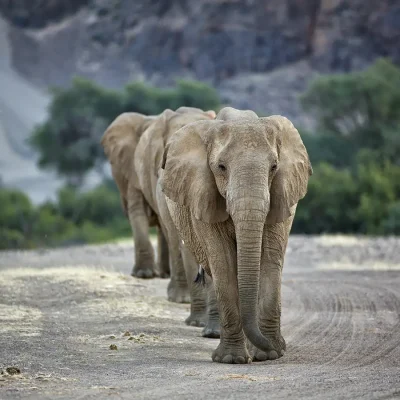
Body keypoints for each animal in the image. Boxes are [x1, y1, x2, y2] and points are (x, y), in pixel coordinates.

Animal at [159, 108, 312, 364]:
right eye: (221, 167)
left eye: (274, 167)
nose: (279, 347)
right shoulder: (203, 196)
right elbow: (223, 262)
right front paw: (232, 359)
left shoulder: (281, 195)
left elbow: (270, 259)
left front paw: (269, 354)